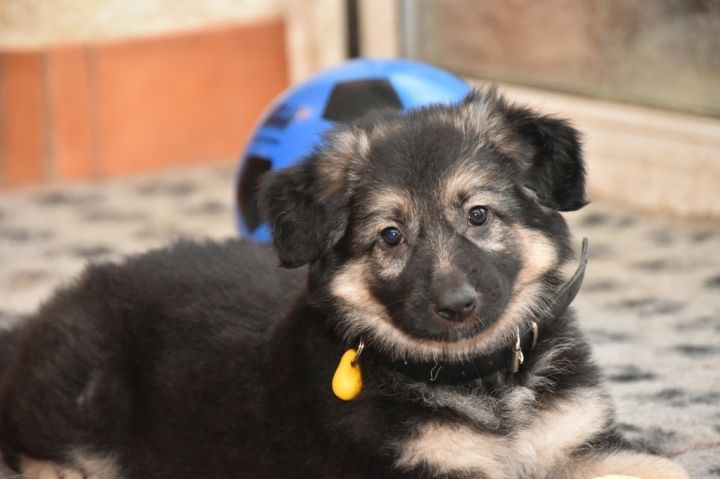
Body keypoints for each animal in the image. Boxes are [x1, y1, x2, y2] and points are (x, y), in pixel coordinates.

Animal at [0, 88, 689, 478]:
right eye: (390, 236)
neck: (482, 381)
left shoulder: (578, 440)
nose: (457, 306)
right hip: (86, 387)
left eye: (478, 215)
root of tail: (36, 321)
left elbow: (659, 469)